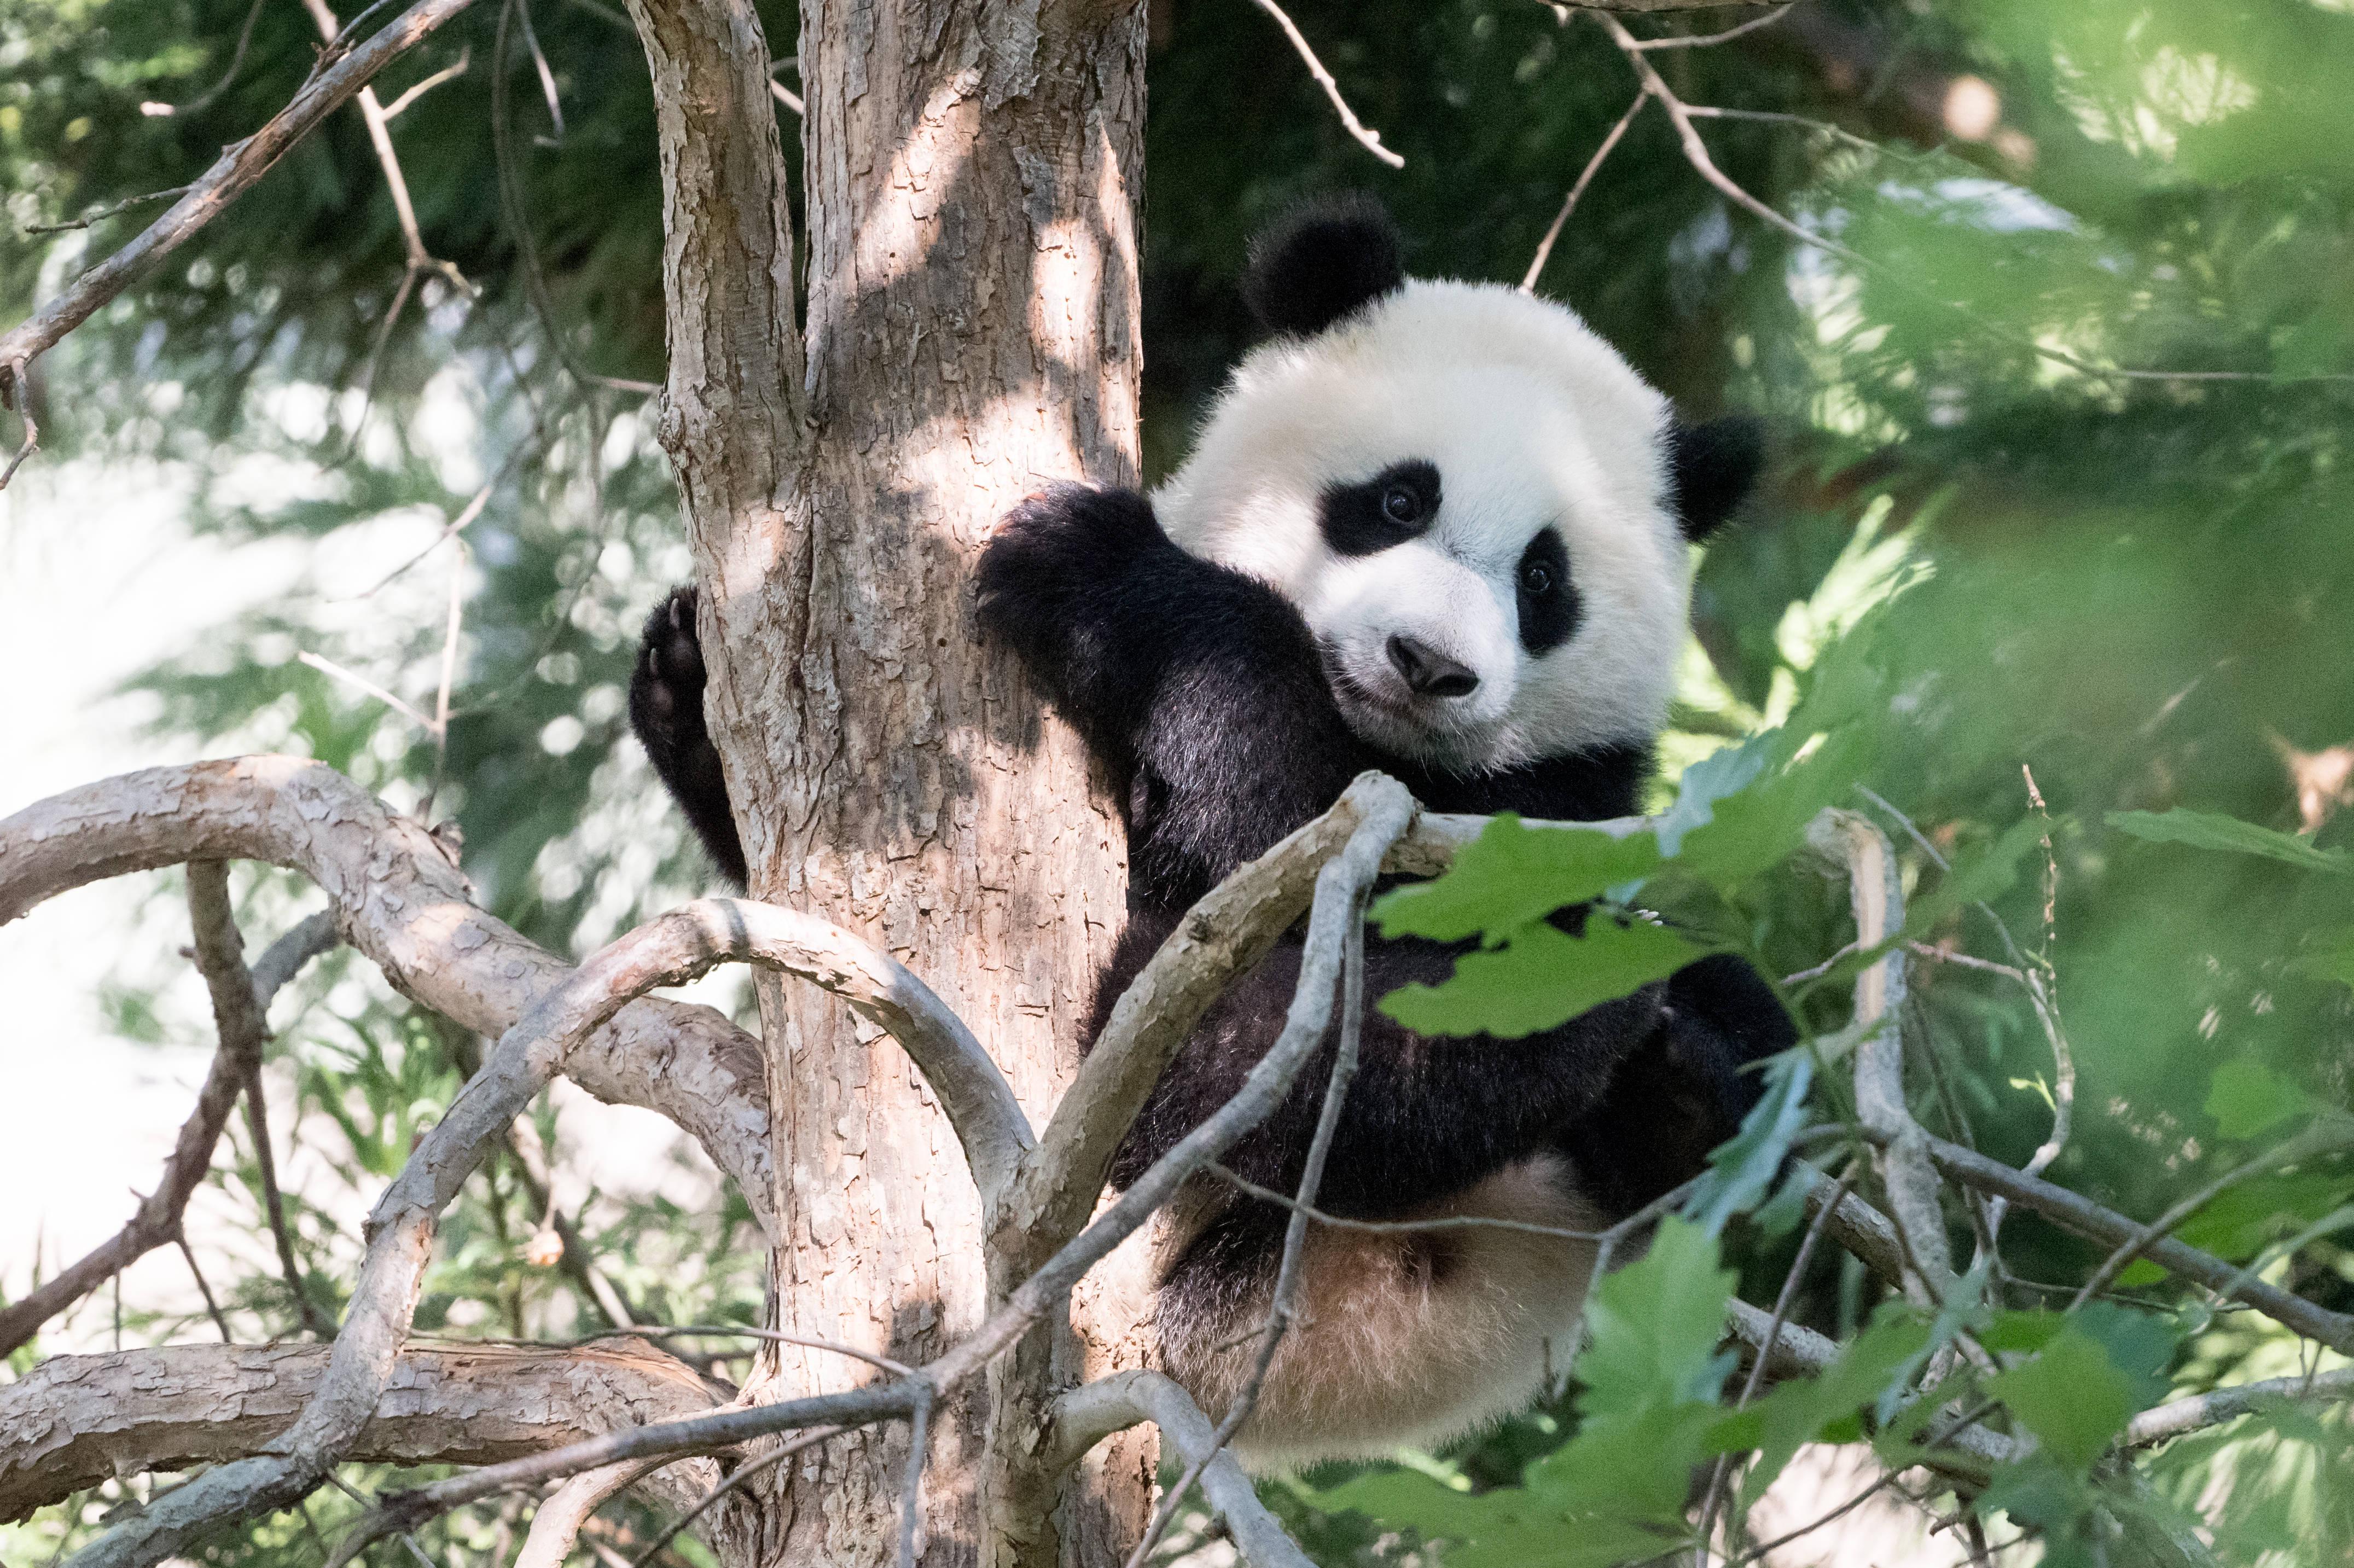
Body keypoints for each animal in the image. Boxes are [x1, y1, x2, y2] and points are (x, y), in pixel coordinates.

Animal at [629, 196, 1795, 1470]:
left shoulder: (1560, 803)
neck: (1382, 733)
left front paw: (1099, 569)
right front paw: (687, 678)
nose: (1428, 663)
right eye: (1398, 501)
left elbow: (1278, 835)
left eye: (1543, 580)